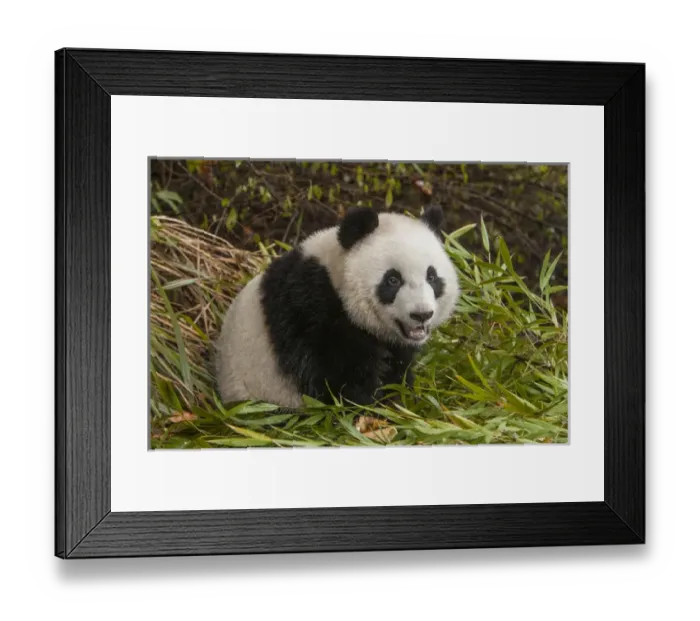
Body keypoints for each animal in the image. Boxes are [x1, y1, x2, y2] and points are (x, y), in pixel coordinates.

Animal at [215, 205, 460, 408]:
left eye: (432, 276)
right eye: (392, 280)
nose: (421, 314)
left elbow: (398, 369)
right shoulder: (310, 308)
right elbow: (333, 379)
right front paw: (369, 408)